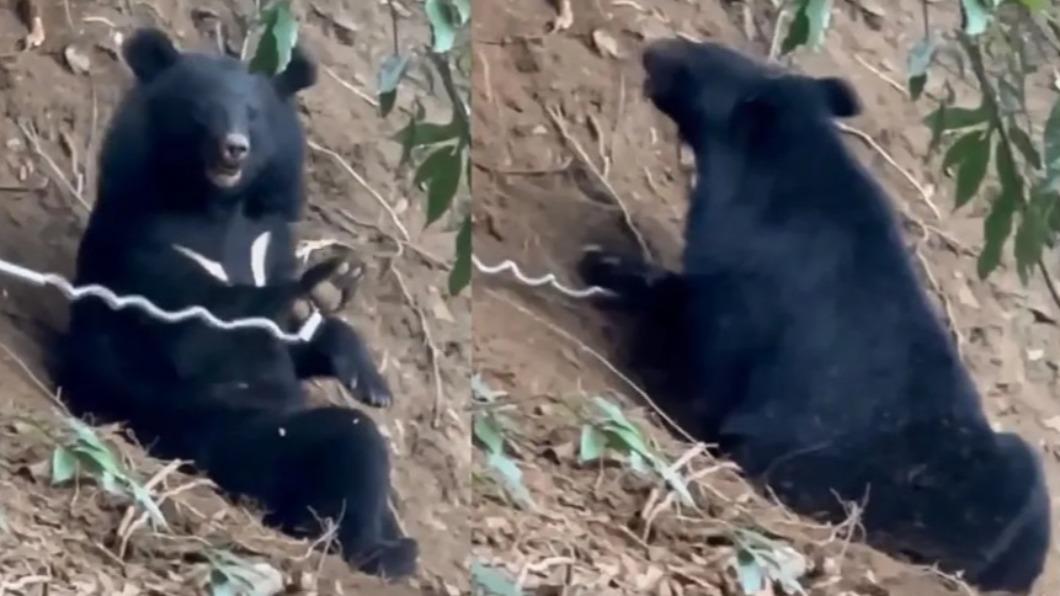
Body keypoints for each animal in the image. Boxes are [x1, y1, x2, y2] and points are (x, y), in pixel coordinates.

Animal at [57, 28, 417, 579]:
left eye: (252, 115)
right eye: (202, 109)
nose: (234, 150)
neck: (215, 205)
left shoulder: (270, 236)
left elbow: (289, 340)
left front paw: (369, 380)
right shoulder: (145, 242)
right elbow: (193, 330)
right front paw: (327, 278)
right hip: (229, 436)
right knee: (349, 441)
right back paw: (378, 549)